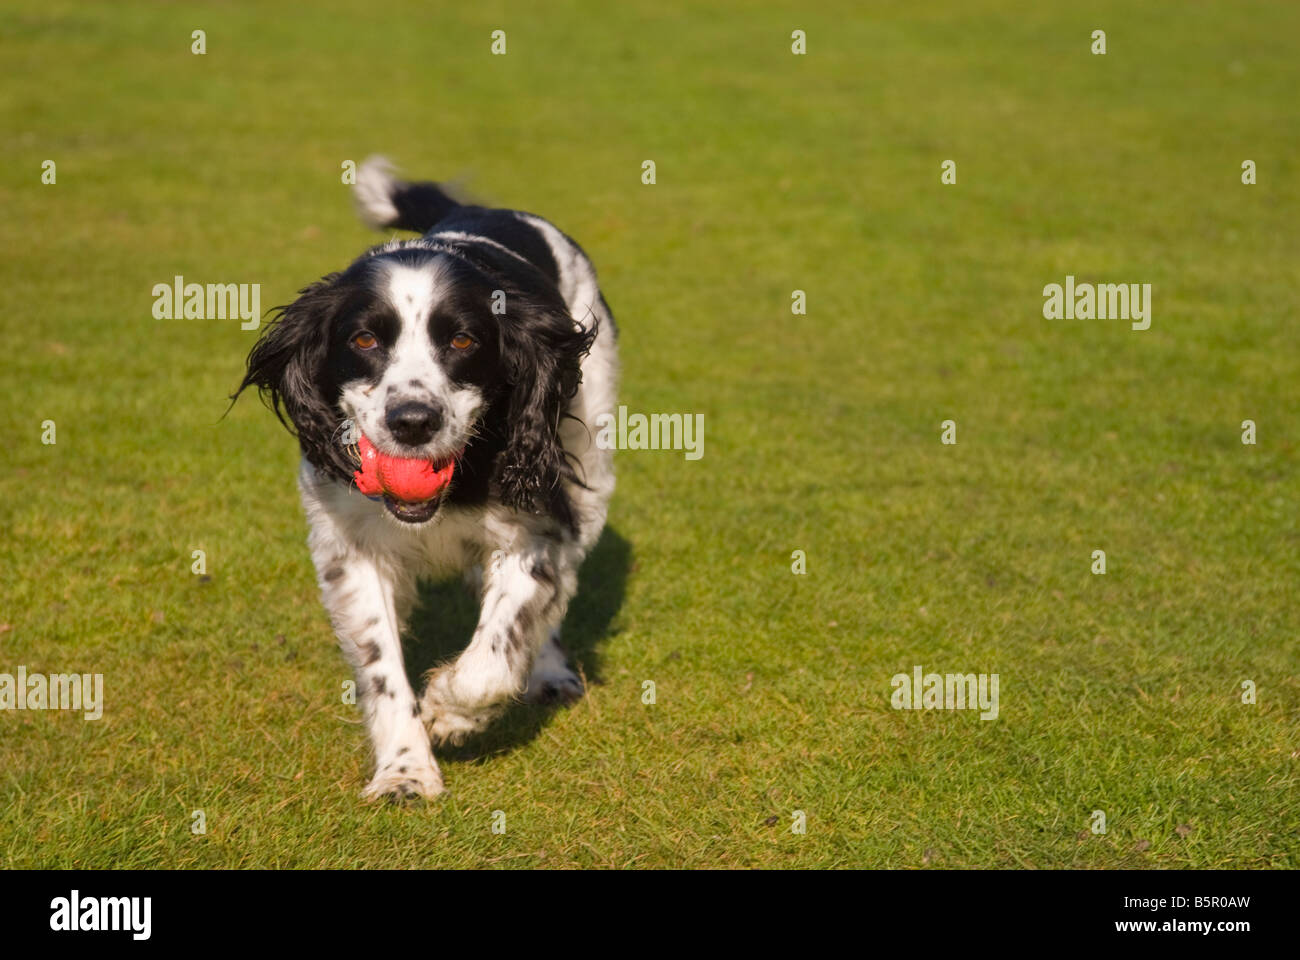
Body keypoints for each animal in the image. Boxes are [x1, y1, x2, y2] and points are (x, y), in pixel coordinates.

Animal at [235, 158, 618, 801]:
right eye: (364, 339)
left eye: (462, 339)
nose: (413, 422)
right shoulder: (350, 550)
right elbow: (382, 668)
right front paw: (405, 772)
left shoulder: (536, 526)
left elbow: (496, 654)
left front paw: (448, 711)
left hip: (592, 465)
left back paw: (549, 672)